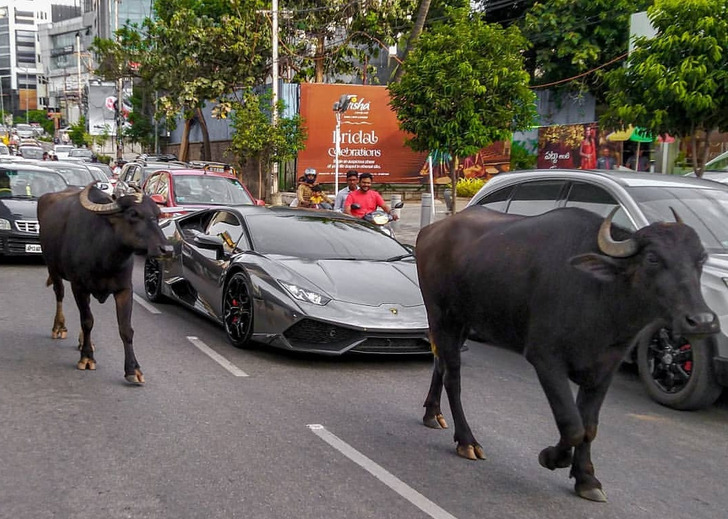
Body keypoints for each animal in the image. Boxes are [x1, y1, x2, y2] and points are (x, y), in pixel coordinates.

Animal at [38, 183, 171, 384]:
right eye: (133, 214)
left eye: (157, 214)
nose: (167, 249)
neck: (105, 256)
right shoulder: (79, 287)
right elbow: (87, 321)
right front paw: (87, 358)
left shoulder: (125, 289)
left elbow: (125, 328)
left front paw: (133, 369)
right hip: (52, 268)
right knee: (59, 293)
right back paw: (59, 327)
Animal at [415, 206, 719, 502]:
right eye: (653, 258)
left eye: (700, 259)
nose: (702, 321)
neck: (600, 298)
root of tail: (430, 232)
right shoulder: (545, 359)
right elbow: (572, 424)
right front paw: (551, 457)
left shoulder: (604, 369)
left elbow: (589, 425)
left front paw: (587, 479)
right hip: (442, 315)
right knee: (453, 376)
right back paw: (467, 441)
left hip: (464, 322)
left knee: (440, 364)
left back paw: (433, 414)